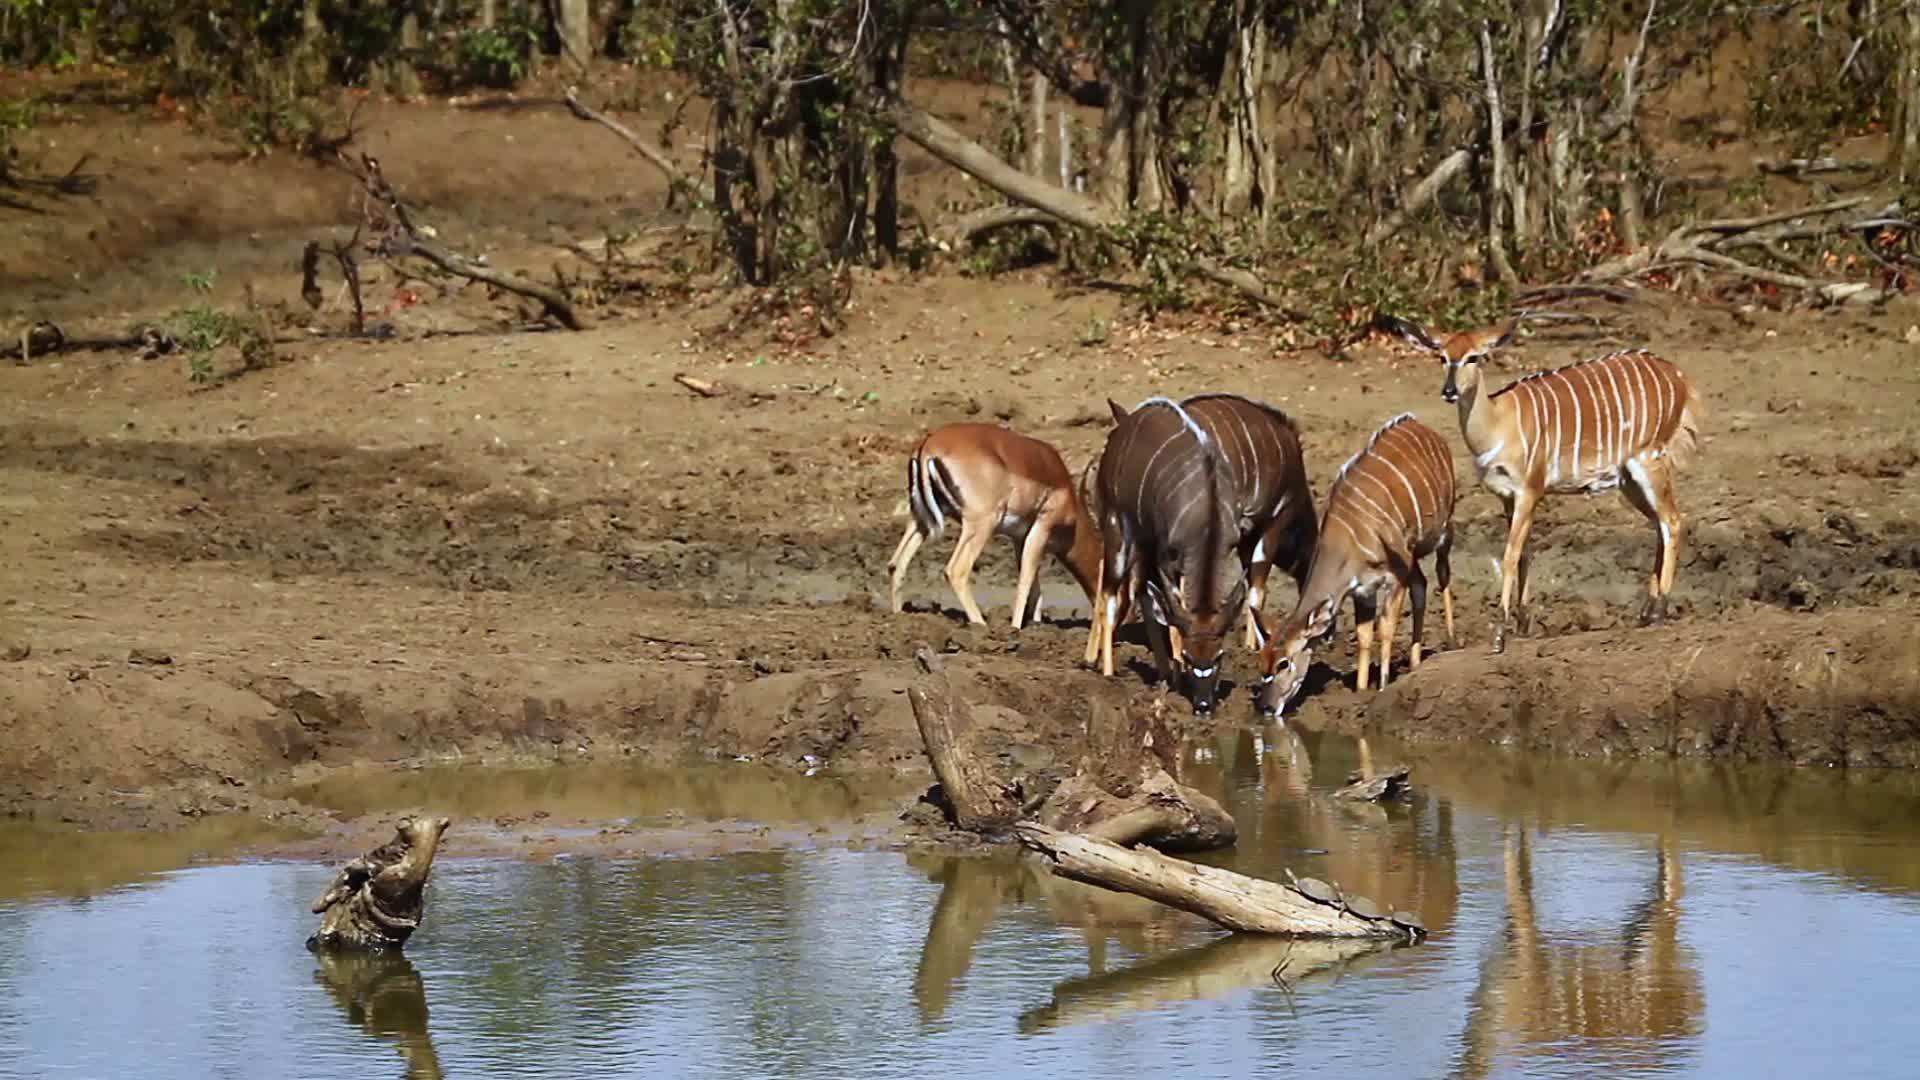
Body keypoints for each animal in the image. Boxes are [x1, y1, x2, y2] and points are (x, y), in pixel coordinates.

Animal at [879, 418, 1098, 622]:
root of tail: (928, 445)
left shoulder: (1020, 538)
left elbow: (1035, 588)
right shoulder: (1042, 528)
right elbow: (1025, 581)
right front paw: (1016, 628)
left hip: (921, 521)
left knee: (896, 565)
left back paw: (898, 616)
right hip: (981, 524)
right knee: (956, 571)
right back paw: (981, 624)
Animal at [1098, 390, 1320, 711]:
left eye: (1220, 657)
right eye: (1191, 658)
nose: (1203, 704)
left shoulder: (1236, 539)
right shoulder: (1272, 521)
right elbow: (1255, 586)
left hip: (1141, 544)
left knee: (1140, 593)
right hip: (1117, 526)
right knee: (1110, 593)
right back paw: (1105, 669)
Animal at [1259, 411, 1451, 714]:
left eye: (1283, 663)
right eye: (1261, 662)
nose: (1267, 707)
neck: (1348, 539)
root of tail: (1422, 426)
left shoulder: (1394, 577)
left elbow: (1386, 628)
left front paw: (1382, 686)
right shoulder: (1363, 590)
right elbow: (1364, 635)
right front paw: (1360, 690)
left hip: (1442, 531)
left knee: (1442, 573)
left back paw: (1453, 641)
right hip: (1413, 554)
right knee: (1421, 585)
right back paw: (1415, 664)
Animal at [1374, 311, 1704, 645]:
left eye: (1474, 357)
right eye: (1442, 356)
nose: (1449, 391)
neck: (1497, 422)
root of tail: (1677, 376)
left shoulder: (1529, 491)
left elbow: (1510, 554)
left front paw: (1500, 633)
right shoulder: (1507, 497)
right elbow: (1524, 554)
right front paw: (1522, 623)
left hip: (1648, 460)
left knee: (1673, 521)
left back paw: (1660, 609)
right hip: (1629, 480)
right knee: (1660, 524)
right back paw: (1646, 612)